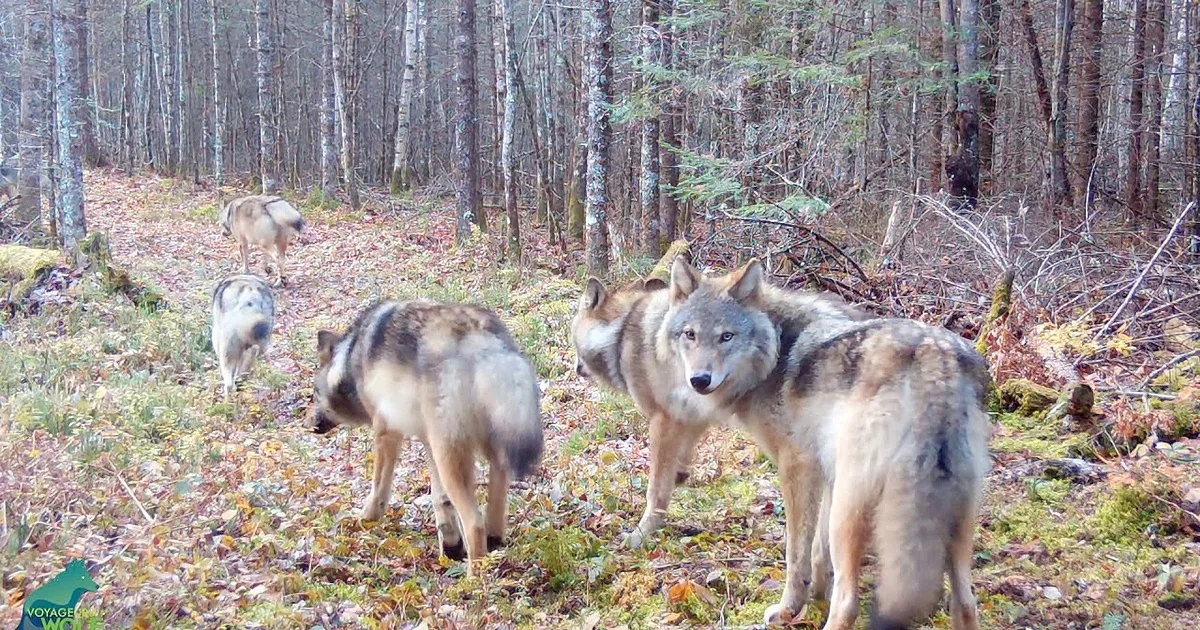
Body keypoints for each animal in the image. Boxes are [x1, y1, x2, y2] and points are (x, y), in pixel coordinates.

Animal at [306, 299, 544, 575]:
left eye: (314, 393)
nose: (309, 424)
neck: (349, 359)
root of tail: (480, 339)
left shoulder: (386, 430)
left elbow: (379, 488)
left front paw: (363, 520)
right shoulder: (427, 442)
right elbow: (440, 500)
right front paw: (450, 547)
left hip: (451, 453)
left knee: (475, 523)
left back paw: (474, 580)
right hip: (482, 447)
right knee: (495, 498)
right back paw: (493, 542)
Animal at [572, 258, 991, 630]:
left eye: (726, 337)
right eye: (689, 334)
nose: (699, 381)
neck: (775, 350)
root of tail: (935, 356)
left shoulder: (795, 465)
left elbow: (795, 552)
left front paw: (791, 608)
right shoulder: (823, 471)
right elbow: (817, 553)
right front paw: (816, 595)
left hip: (851, 511)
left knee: (849, 602)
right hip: (952, 518)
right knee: (966, 604)